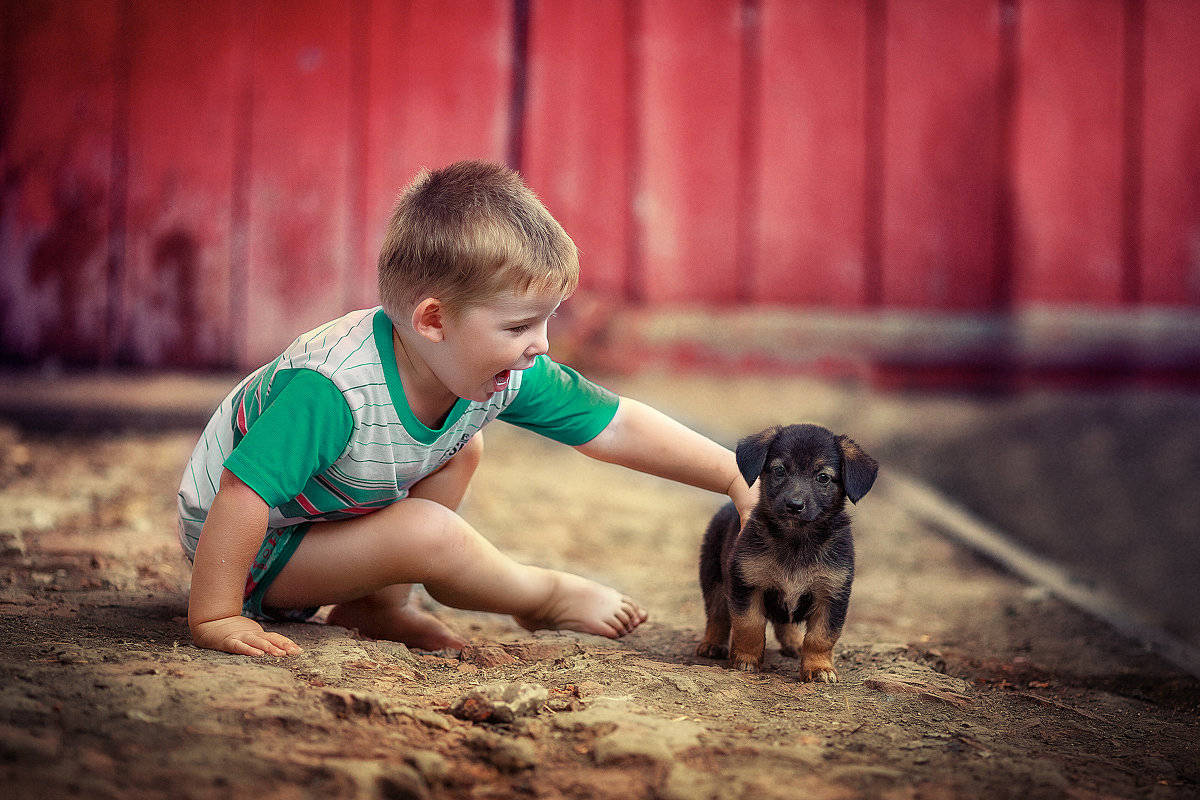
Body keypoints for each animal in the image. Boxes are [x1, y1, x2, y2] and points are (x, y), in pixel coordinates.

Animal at [696, 424, 883, 681]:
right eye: (779, 470)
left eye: (823, 477)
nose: (794, 505)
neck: (797, 540)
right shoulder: (747, 583)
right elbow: (749, 625)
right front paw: (746, 659)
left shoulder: (832, 594)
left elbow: (821, 637)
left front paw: (819, 668)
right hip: (713, 575)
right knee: (717, 614)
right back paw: (713, 644)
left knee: (786, 623)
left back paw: (794, 644)